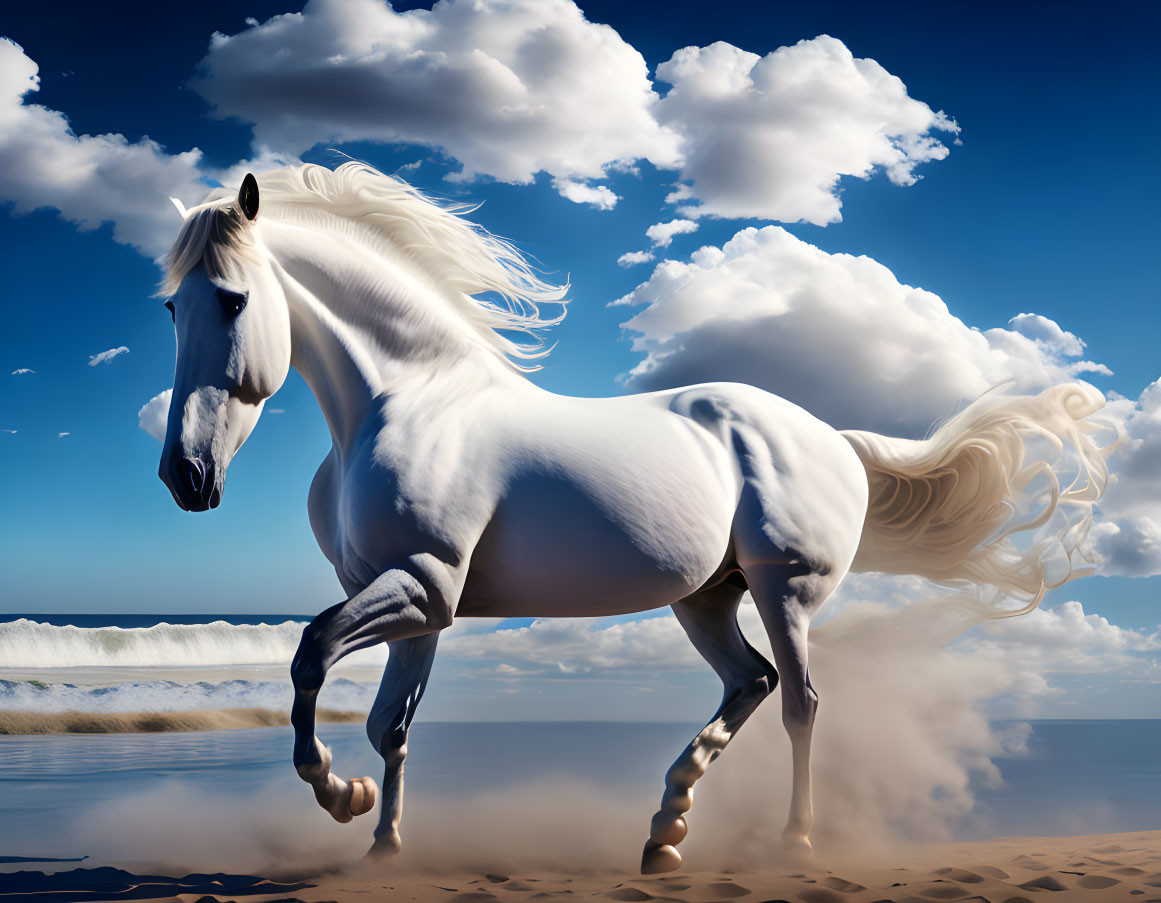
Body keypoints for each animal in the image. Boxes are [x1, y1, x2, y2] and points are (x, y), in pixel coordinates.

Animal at [154, 163, 1105, 872]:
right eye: (170, 307)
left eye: (233, 299)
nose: (183, 476)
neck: (409, 400)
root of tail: (830, 435)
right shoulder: (420, 602)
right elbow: (392, 723)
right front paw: (382, 849)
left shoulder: (420, 586)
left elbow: (311, 652)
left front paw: (336, 793)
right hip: (704, 597)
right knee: (752, 681)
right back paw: (664, 830)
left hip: (783, 588)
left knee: (800, 700)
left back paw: (791, 843)